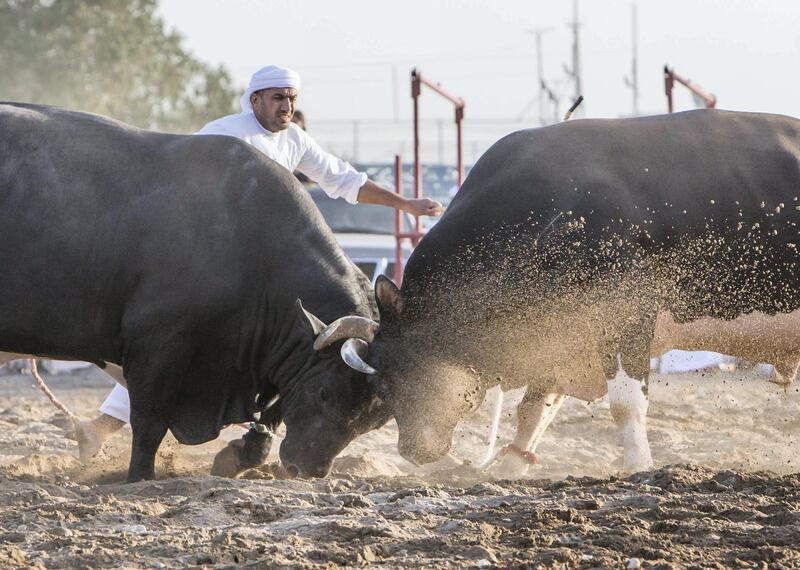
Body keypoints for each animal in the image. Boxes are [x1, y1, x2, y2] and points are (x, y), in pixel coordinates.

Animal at [0, 103, 388, 480]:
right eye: (325, 392)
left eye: (371, 421)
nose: (308, 470)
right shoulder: (157, 346)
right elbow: (149, 422)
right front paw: (140, 476)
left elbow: (272, 412)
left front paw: (241, 455)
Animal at [366, 108, 800, 464]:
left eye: (392, 374)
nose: (411, 452)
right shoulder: (558, 339)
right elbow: (533, 412)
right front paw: (509, 469)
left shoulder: (625, 315)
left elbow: (627, 405)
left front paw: (639, 468)